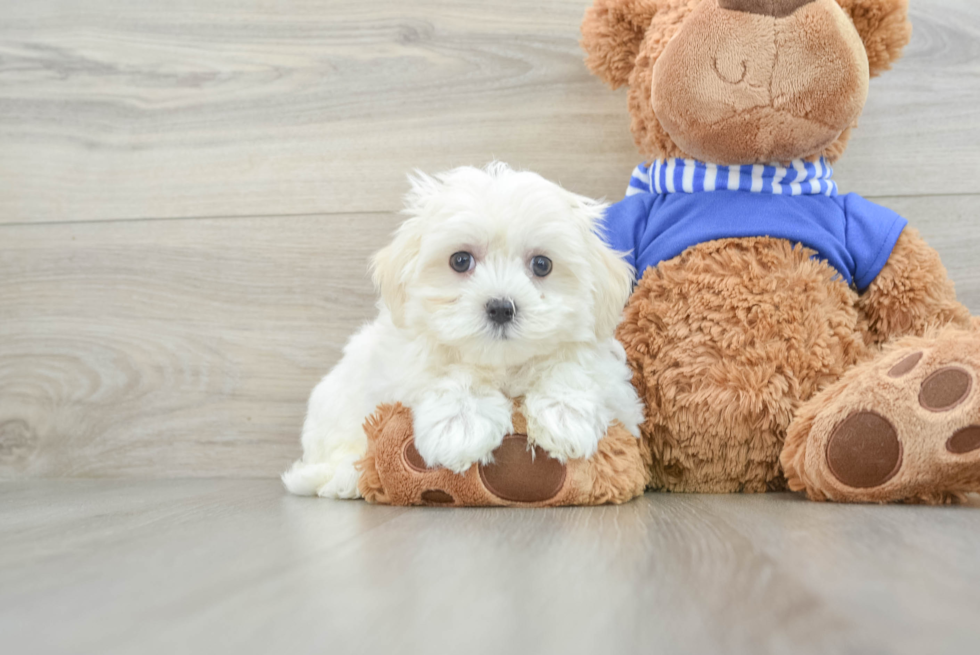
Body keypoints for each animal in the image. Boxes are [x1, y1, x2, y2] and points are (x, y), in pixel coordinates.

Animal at [284, 163, 644, 498]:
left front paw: (566, 415)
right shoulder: (403, 362)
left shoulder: (612, 378)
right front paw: (460, 425)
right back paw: (346, 477)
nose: (500, 307)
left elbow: (575, 365)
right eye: (460, 261)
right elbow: (451, 372)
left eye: (542, 265)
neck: (502, 365)